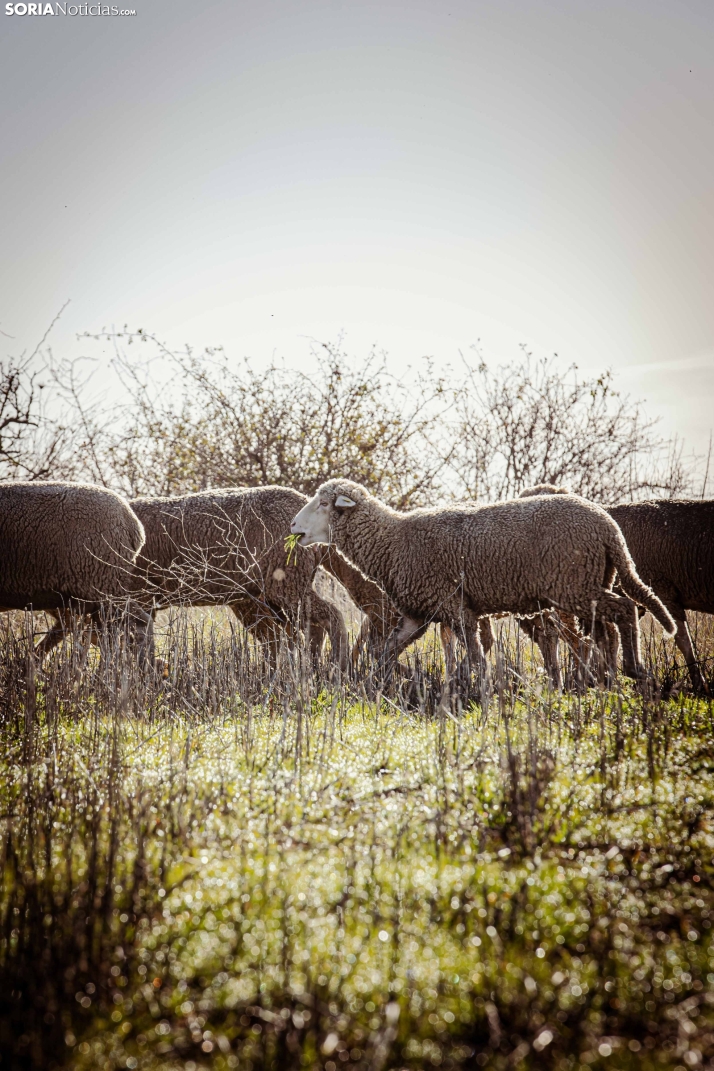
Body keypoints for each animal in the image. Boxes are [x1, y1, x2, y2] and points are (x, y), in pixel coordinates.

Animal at [291, 477, 676, 676]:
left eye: (323, 504)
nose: (294, 526)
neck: (394, 540)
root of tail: (608, 526)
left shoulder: (455, 606)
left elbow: (476, 656)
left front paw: (480, 687)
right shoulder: (418, 612)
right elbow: (384, 651)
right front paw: (391, 679)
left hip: (574, 586)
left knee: (625, 610)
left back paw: (633, 668)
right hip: (589, 583)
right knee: (605, 629)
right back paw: (609, 675)